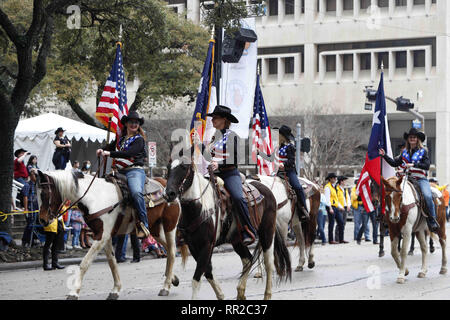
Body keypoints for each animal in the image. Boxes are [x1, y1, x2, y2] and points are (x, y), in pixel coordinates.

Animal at [35, 171, 183, 298]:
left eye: (44, 194)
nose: (42, 220)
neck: (95, 198)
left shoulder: (102, 236)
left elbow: (85, 263)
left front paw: (73, 293)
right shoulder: (104, 236)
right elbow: (112, 262)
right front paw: (115, 290)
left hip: (169, 226)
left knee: (171, 251)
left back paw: (165, 287)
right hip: (155, 229)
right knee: (168, 249)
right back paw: (172, 278)